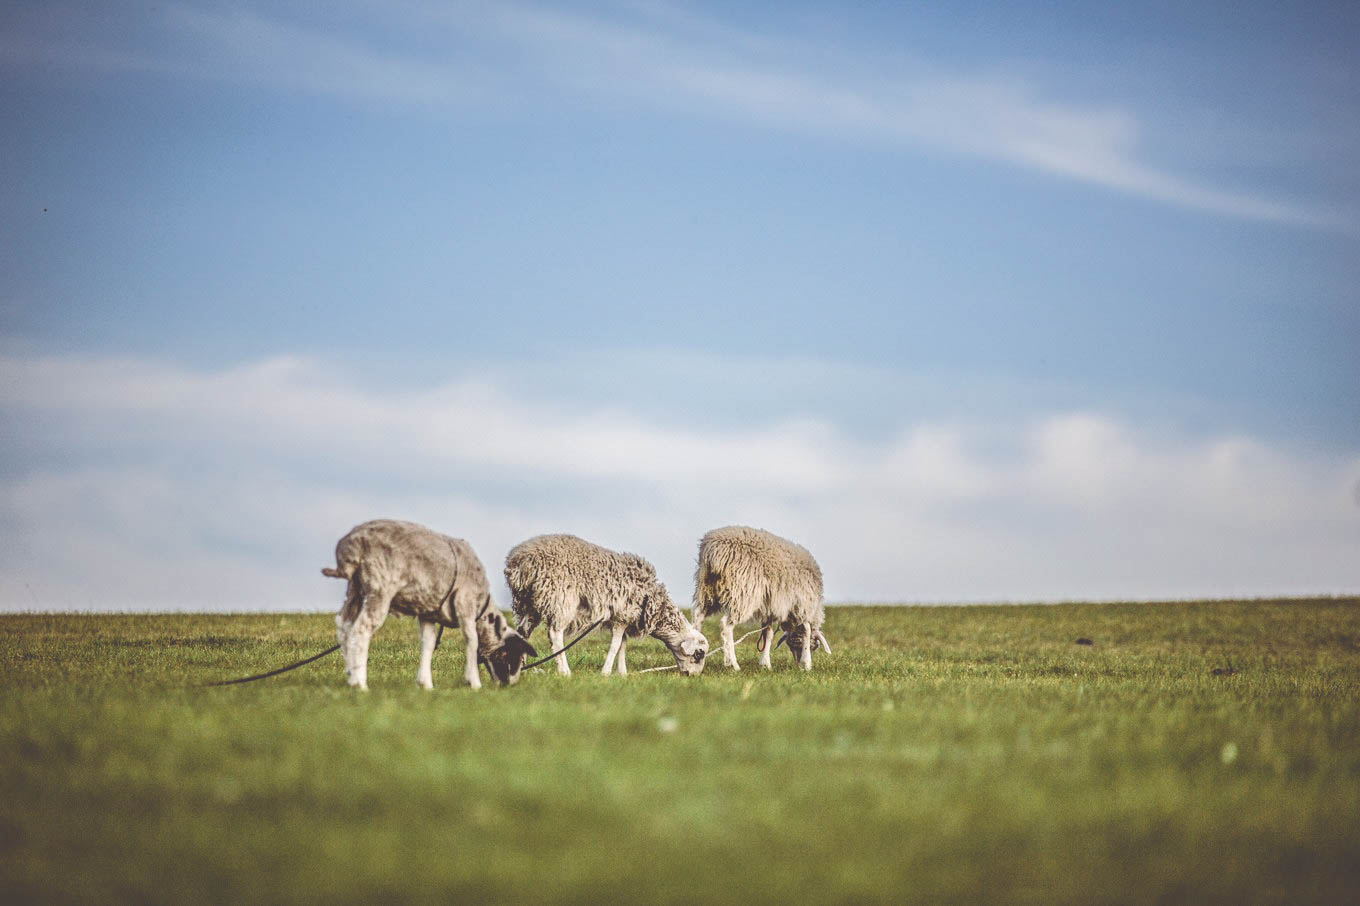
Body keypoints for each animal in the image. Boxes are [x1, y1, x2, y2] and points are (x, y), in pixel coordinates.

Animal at [323, 519, 535, 688]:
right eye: (509, 656)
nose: (508, 686)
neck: (481, 609)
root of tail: (350, 545)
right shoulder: (464, 603)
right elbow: (472, 640)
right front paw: (474, 682)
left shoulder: (428, 613)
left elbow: (428, 643)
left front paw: (425, 684)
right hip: (380, 586)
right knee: (361, 629)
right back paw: (360, 683)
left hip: (356, 589)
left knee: (344, 626)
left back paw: (350, 675)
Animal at [503, 533, 712, 674]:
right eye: (698, 654)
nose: (692, 676)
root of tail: (519, 562)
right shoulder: (622, 616)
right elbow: (615, 645)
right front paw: (605, 672)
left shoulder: (623, 619)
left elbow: (623, 646)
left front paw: (621, 673)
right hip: (559, 598)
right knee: (555, 634)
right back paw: (565, 672)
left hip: (530, 604)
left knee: (522, 632)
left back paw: (519, 668)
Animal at [690, 522, 826, 669]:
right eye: (814, 647)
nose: (798, 665)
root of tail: (713, 550)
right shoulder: (801, 605)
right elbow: (806, 630)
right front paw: (807, 664)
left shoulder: (769, 609)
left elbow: (768, 634)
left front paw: (765, 664)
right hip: (743, 593)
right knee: (726, 625)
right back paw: (733, 664)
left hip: (707, 591)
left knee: (697, 618)